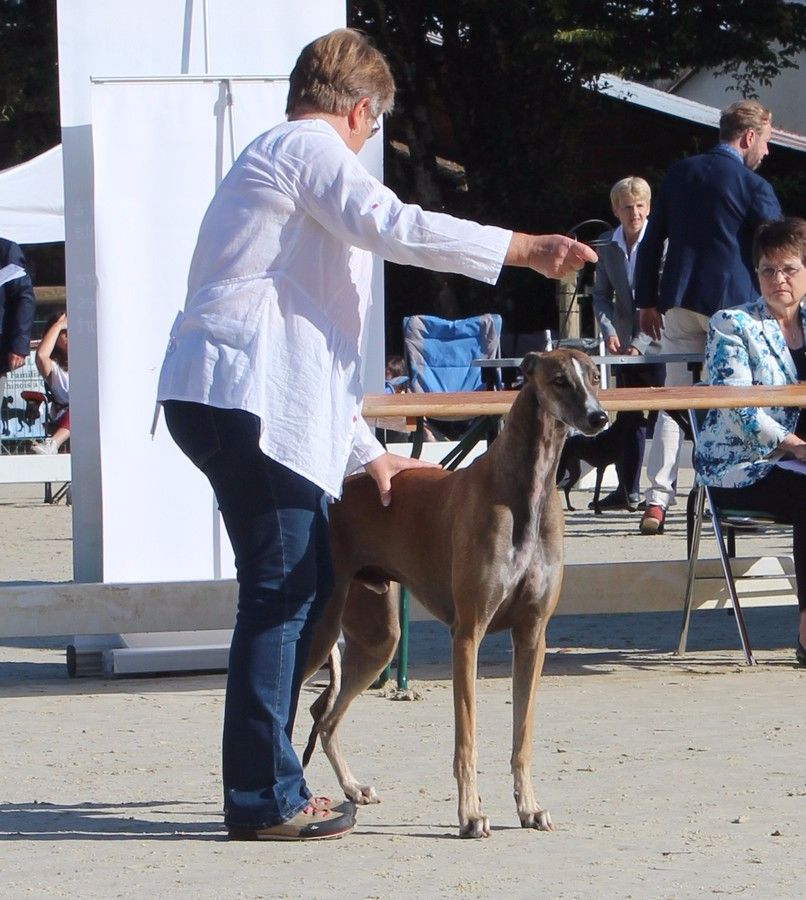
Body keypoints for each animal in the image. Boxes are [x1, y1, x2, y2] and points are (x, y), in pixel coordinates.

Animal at [306, 350, 608, 836]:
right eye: (559, 380)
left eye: (595, 376)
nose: (599, 417)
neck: (526, 490)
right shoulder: (467, 633)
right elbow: (466, 738)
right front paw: (470, 814)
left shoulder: (532, 636)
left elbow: (522, 737)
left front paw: (529, 808)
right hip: (319, 631)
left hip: (378, 640)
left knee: (326, 717)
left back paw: (353, 789)